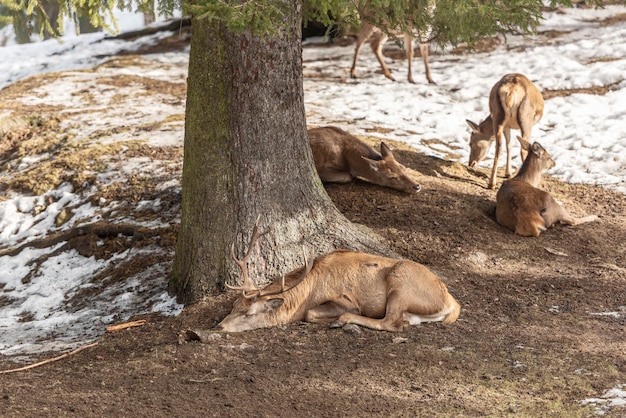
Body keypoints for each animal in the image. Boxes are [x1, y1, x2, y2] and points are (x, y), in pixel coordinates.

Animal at [216, 219, 458, 334]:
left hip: (401, 283)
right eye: (234, 307)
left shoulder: (345, 299)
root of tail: (452, 303)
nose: (219, 326)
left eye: (249, 314)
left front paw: (335, 318)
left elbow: (310, 314)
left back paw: (342, 321)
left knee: (391, 323)